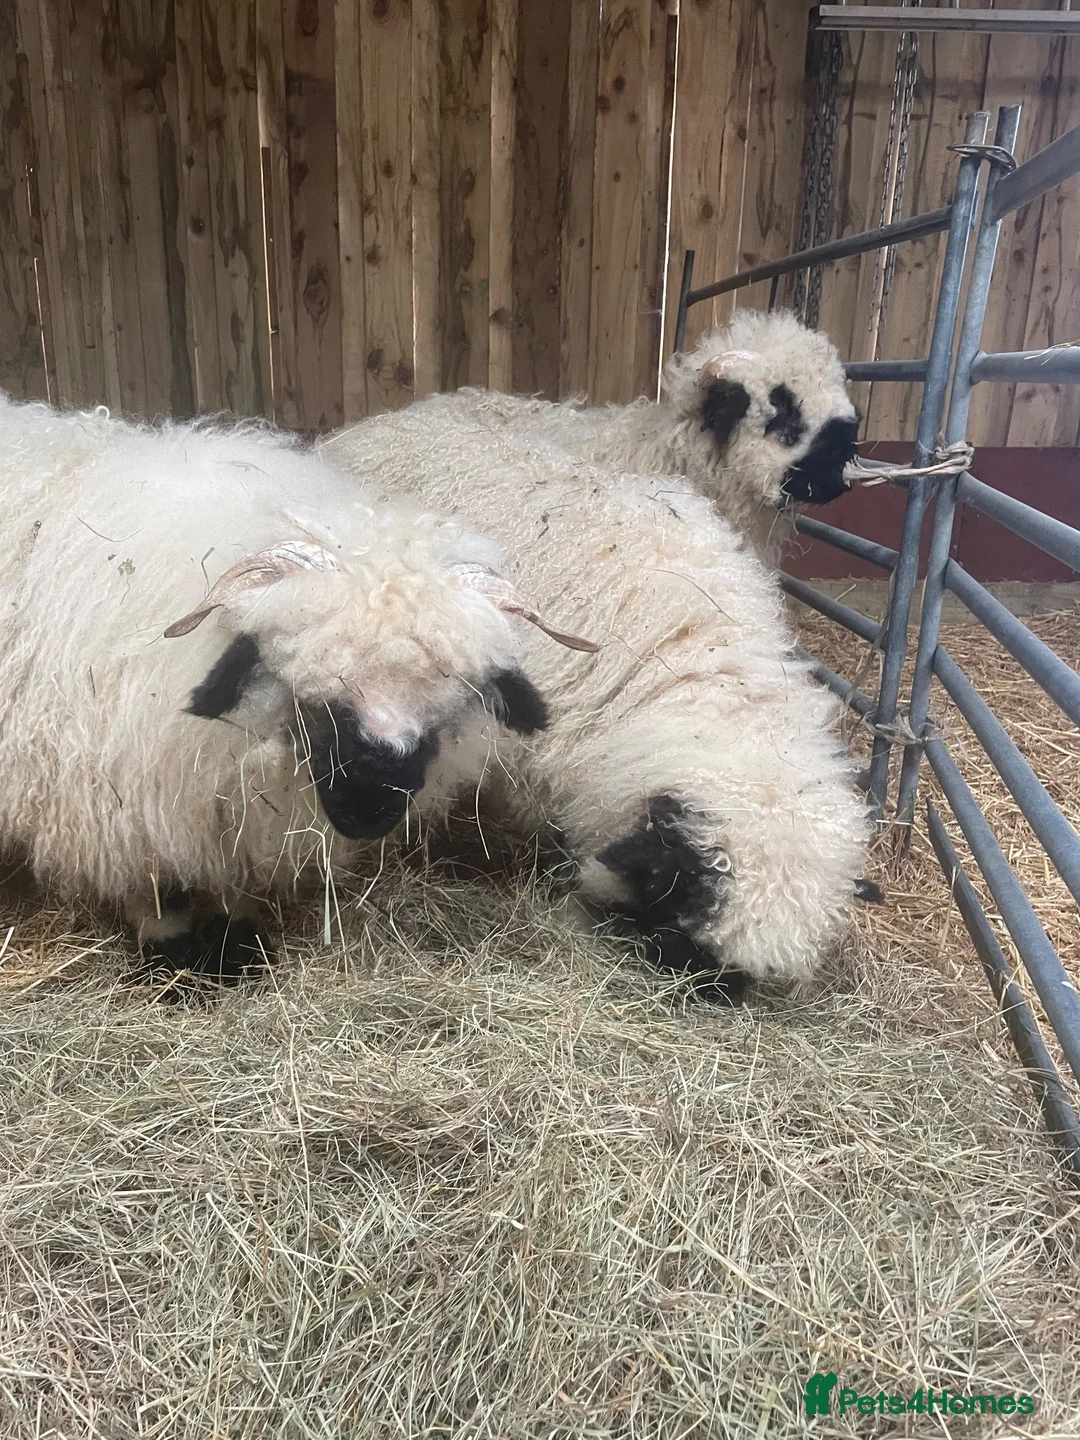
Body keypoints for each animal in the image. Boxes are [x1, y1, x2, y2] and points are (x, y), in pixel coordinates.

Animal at [0, 393, 594, 987]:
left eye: (445, 705)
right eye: (310, 694)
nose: (369, 811)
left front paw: (237, 948)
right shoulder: (122, 799)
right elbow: (159, 889)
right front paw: (175, 964)